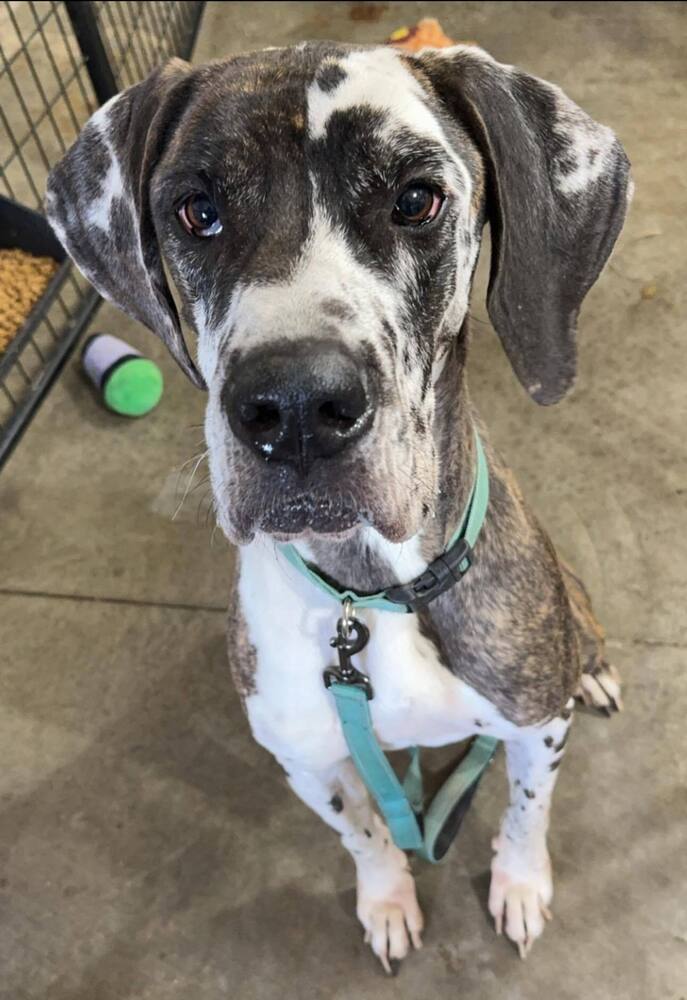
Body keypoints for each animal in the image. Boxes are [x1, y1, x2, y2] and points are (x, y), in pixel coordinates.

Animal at [45, 43, 632, 972]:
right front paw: (387, 901)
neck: (371, 595)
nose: (294, 407)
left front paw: (519, 885)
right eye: (196, 211)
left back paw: (597, 668)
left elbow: (526, 810)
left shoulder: (535, 726)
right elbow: (364, 834)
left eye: (416, 199)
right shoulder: (307, 760)